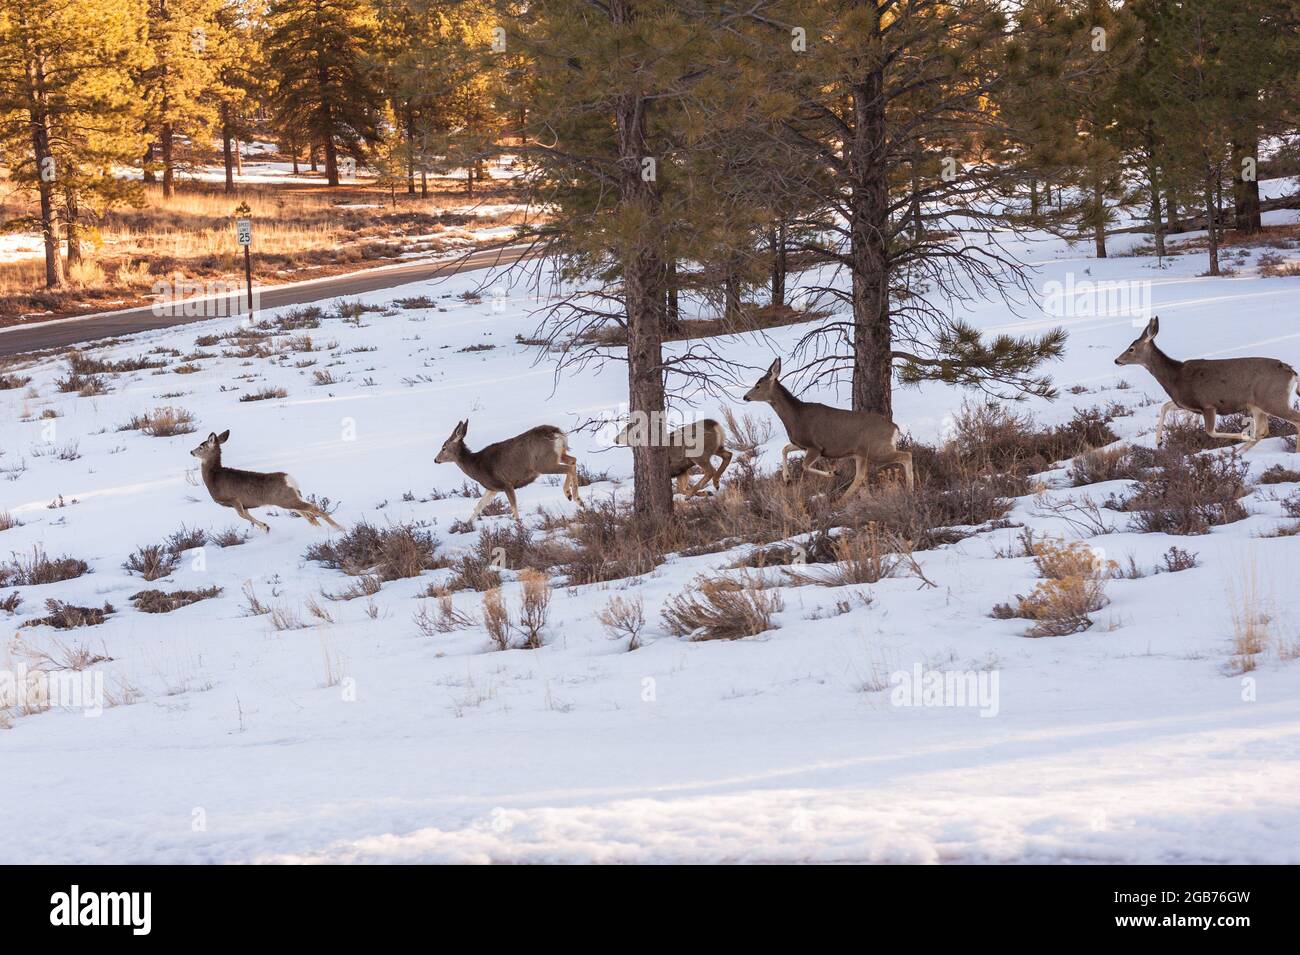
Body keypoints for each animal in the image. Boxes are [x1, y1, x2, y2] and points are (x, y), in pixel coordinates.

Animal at [189, 431, 343, 535]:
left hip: (286, 500)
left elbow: (243, 515)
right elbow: (246, 515)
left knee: (312, 508)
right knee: (308, 514)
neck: (214, 477)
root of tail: (289, 479)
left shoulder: (234, 499)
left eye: (201, 447)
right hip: (291, 499)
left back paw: (340, 528)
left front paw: (265, 526)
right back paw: (321, 529)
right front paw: (265, 526)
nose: (191, 451)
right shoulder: (244, 504)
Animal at [434, 420, 582, 522]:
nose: (435, 460)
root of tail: (556, 432)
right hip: (559, 455)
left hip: (544, 463)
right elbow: (479, 506)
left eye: (443, 448)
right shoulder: (492, 488)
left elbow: (513, 507)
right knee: (573, 460)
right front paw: (467, 525)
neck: (476, 465)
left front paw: (519, 528)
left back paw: (572, 496)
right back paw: (576, 498)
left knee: (569, 468)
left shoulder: (506, 483)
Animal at [743, 358, 915, 501]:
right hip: (861, 453)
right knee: (860, 475)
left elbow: (804, 465)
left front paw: (833, 473)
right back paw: (842, 501)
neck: (795, 416)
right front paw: (787, 478)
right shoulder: (802, 444)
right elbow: (784, 448)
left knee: (906, 455)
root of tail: (895, 428)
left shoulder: (815, 447)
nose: (745, 397)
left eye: (758, 385)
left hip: (876, 449)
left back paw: (909, 490)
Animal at [1112, 315, 1300, 454]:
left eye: (1131, 349)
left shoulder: (1208, 405)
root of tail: (1292, 372)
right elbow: (1165, 406)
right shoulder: (1187, 403)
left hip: (1272, 399)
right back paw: (1239, 452)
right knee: (1264, 430)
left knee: (1294, 419)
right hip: (1257, 404)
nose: (1116, 360)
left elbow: (1210, 431)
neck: (1175, 377)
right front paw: (1159, 441)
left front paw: (1244, 436)